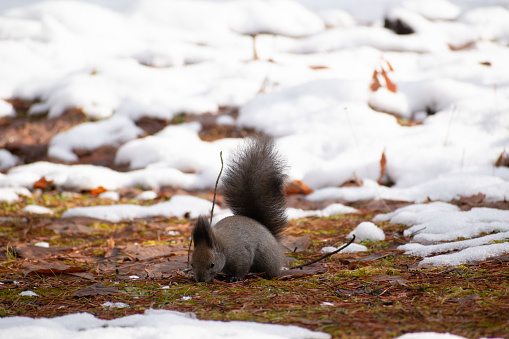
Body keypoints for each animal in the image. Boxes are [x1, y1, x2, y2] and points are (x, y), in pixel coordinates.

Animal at [190, 136, 288, 284]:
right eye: (192, 264)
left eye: (212, 264)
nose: (200, 279)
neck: (222, 246)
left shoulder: (242, 254)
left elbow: (242, 268)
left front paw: (235, 277)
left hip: (267, 259)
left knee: (272, 270)